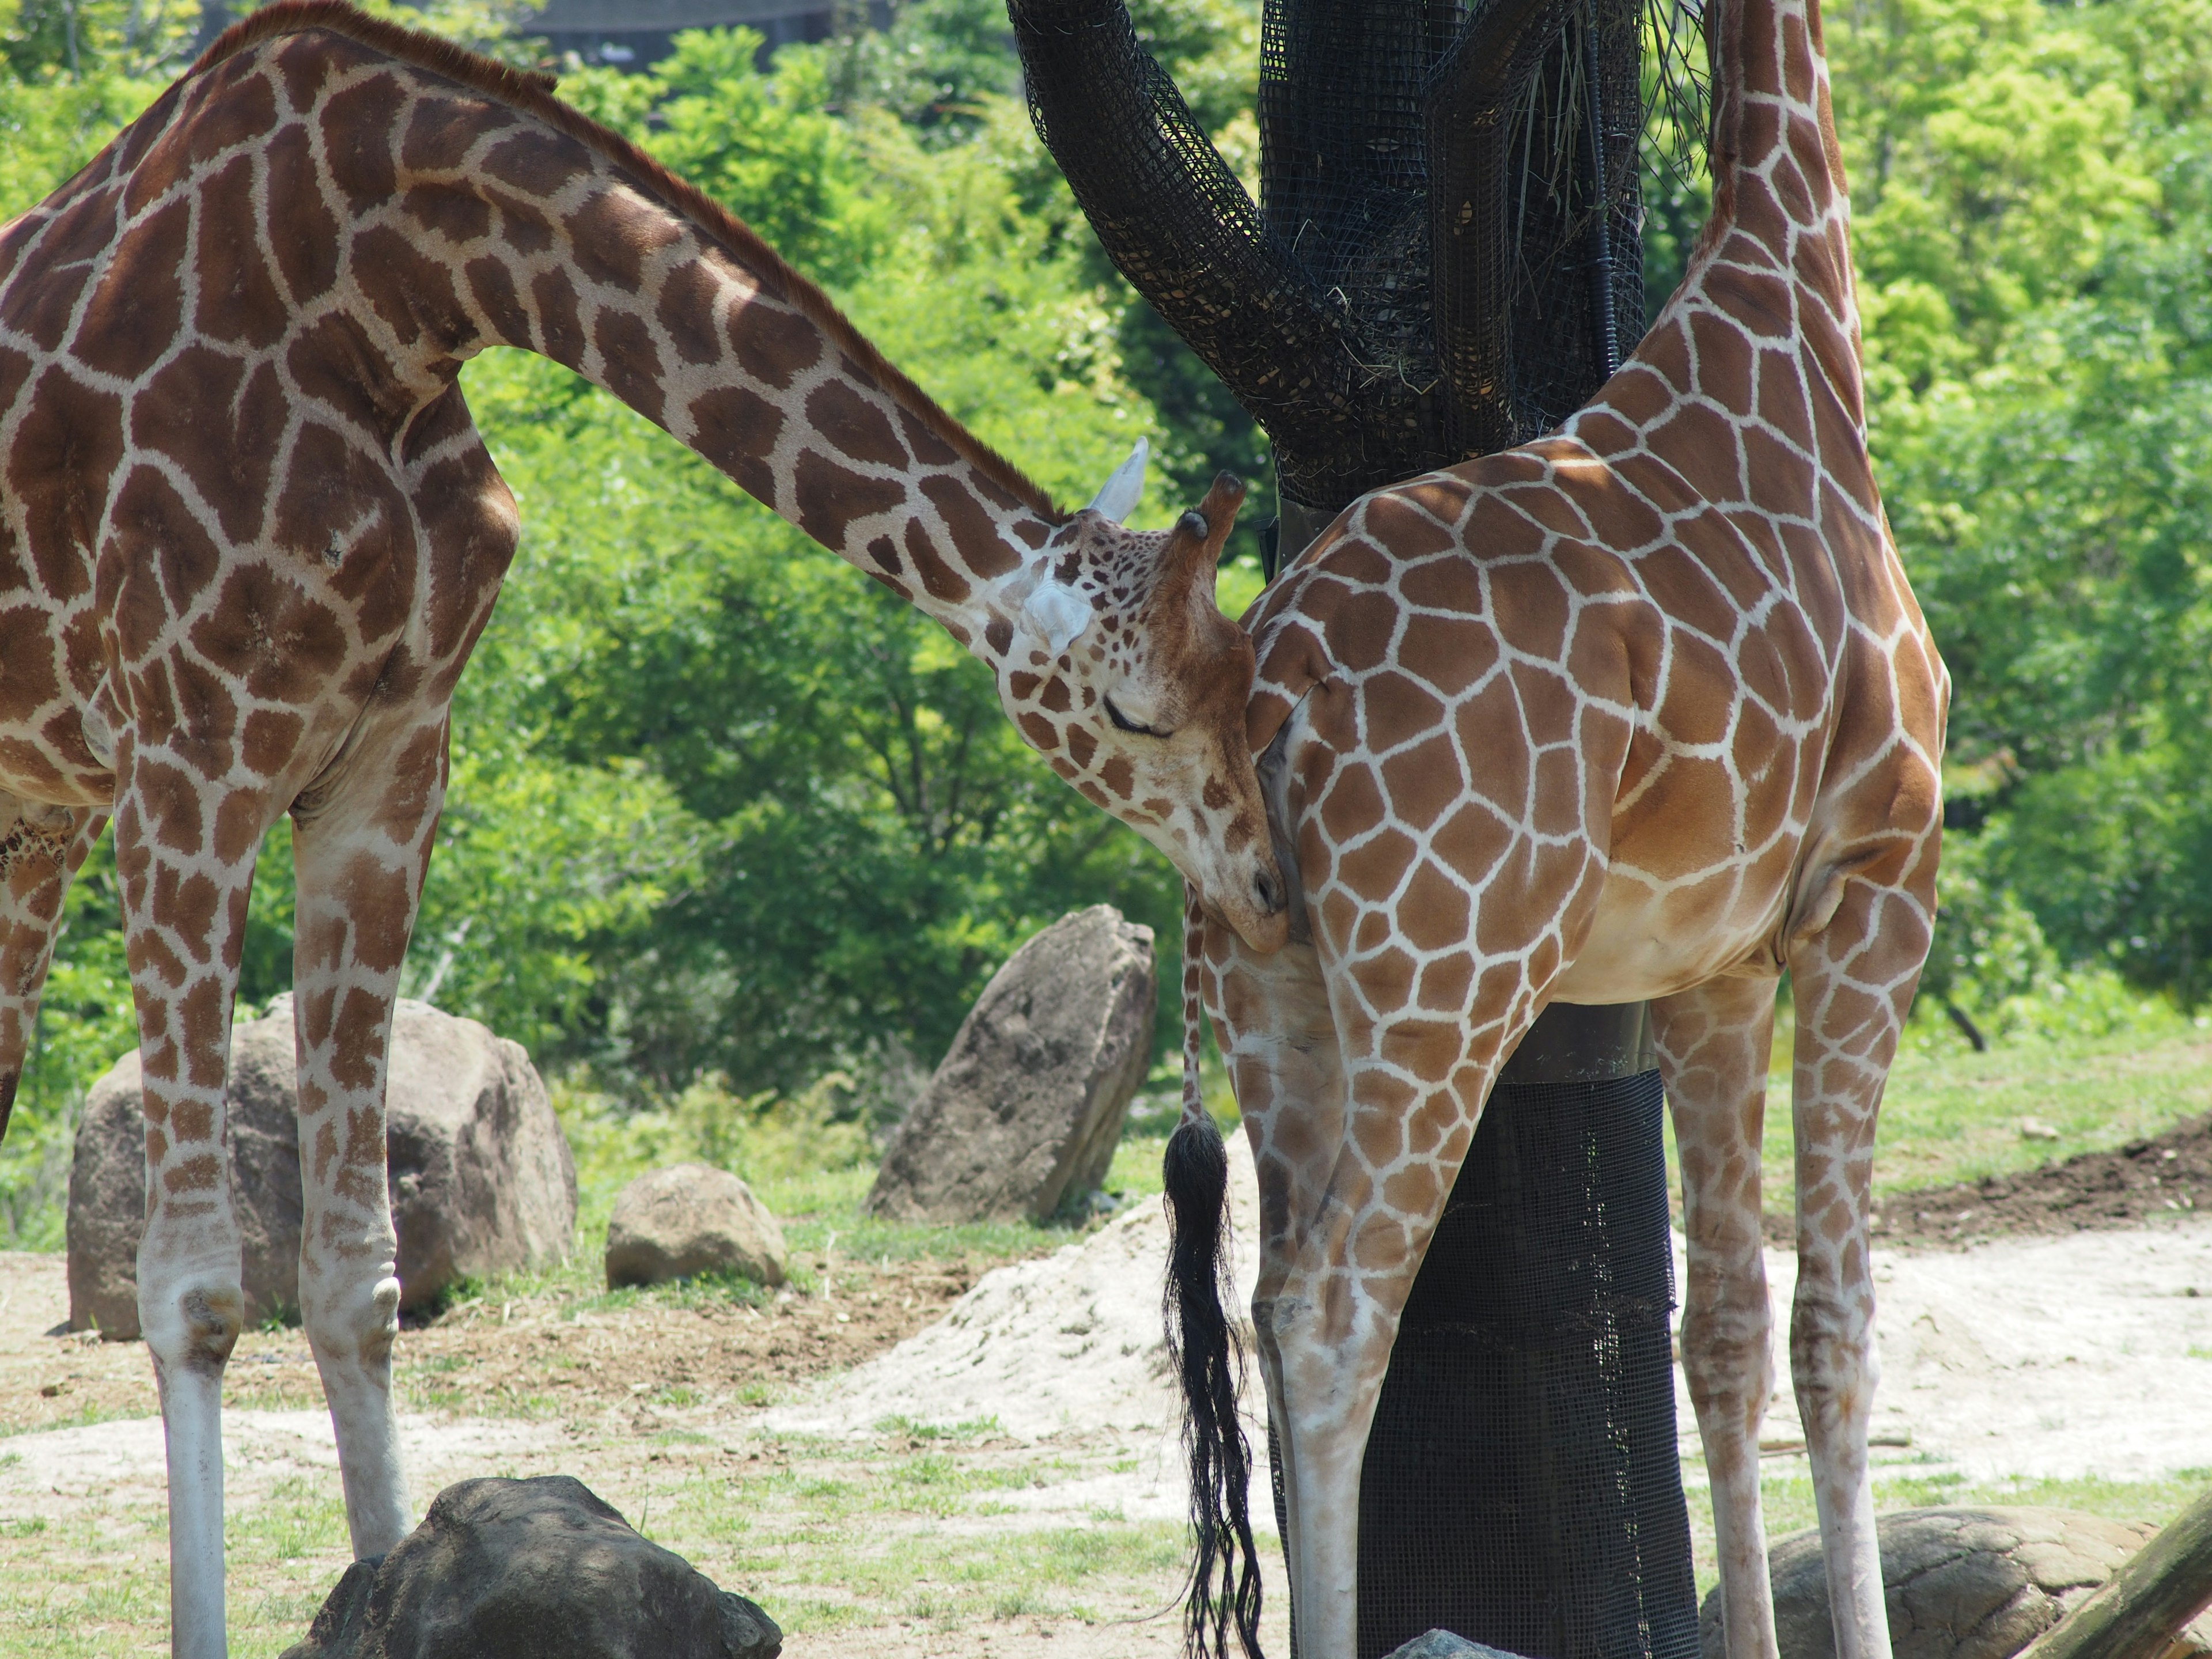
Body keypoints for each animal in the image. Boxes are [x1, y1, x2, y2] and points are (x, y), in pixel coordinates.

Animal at [0, 6, 1291, 1654]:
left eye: (1248, 687)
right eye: (1133, 714)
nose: (1264, 887)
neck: (388, 281)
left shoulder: (386, 765)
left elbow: (356, 1276)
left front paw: (384, 1588)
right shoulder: (191, 751)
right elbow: (201, 1295)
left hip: (35, 816)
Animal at [1168, 0, 1946, 1654]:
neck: (1795, 302)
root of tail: (1277, 682)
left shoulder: (1713, 968)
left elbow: (1721, 1333)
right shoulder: (1874, 889)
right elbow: (1835, 1327)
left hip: (1278, 991)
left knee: (1264, 1306)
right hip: (1447, 985)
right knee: (1335, 1315)